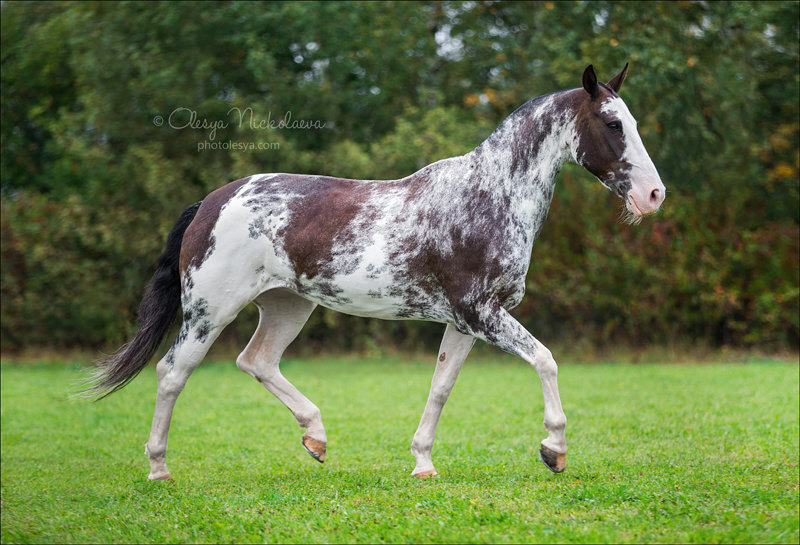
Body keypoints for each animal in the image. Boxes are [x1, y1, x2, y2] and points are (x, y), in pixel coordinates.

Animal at [87, 65, 664, 480]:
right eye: (613, 124)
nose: (654, 195)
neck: (488, 195)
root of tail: (213, 200)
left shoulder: (465, 321)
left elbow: (441, 387)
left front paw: (423, 463)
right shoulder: (482, 313)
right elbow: (545, 360)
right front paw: (554, 449)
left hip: (288, 305)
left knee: (257, 361)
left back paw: (316, 439)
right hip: (211, 310)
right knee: (173, 373)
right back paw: (159, 468)